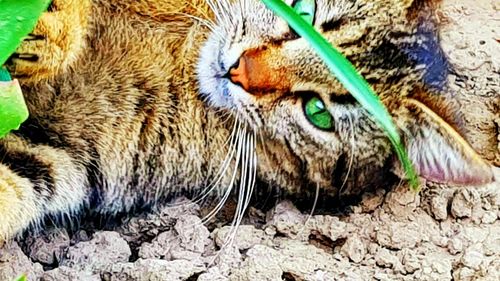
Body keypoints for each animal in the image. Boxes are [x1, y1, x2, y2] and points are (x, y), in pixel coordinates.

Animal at [0, 0, 496, 241]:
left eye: (317, 112)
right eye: (303, 10)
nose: (237, 70)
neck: (185, 55)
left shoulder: (59, 151)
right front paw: (50, 26)